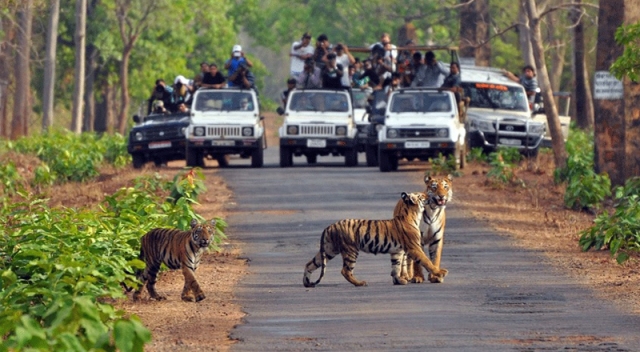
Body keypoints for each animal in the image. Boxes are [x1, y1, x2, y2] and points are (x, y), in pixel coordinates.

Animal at [302, 191, 448, 288]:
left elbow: (396, 267)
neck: (413, 214)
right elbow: (427, 261)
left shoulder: (397, 251)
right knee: (345, 271)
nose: (429, 195)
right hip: (350, 250)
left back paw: (307, 283)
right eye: (421, 195)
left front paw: (399, 281)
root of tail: (329, 226)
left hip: (329, 250)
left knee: (310, 264)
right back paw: (360, 283)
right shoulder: (414, 247)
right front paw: (440, 273)